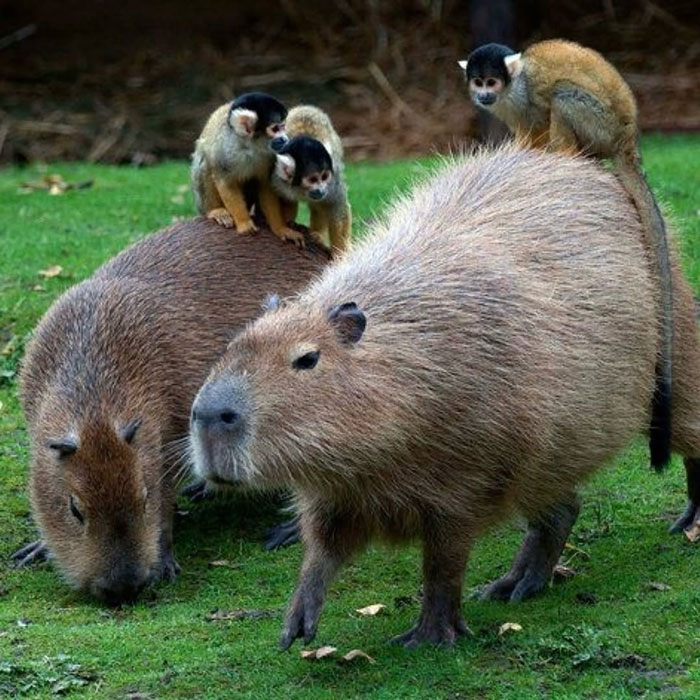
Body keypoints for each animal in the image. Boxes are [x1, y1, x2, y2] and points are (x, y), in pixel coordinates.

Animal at [191, 92, 304, 247]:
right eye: (275, 129)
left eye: (283, 126)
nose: (285, 139)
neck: (249, 146)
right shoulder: (224, 150)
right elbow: (226, 182)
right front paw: (244, 223)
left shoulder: (271, 155)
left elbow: (265, 185)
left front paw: (281, 229)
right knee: (206, 162)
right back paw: (215, 211)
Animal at [269, 105, 351, 257]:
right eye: (313, 179)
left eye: (324, 177)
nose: (321, 189)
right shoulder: (277, 180)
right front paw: (286, 227)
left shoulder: (333, 182)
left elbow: (337, 206)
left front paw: (339, 253)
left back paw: (317, 233)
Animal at [458, 39, 674, 470]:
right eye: (479, 82)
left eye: (492, 81)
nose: (484, 94)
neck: (511, 87)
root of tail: (629, 140)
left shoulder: (523, 97)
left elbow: (538, 118)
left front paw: (530, 149)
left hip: (601, 122)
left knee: (561, 94)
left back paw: (565, 151)